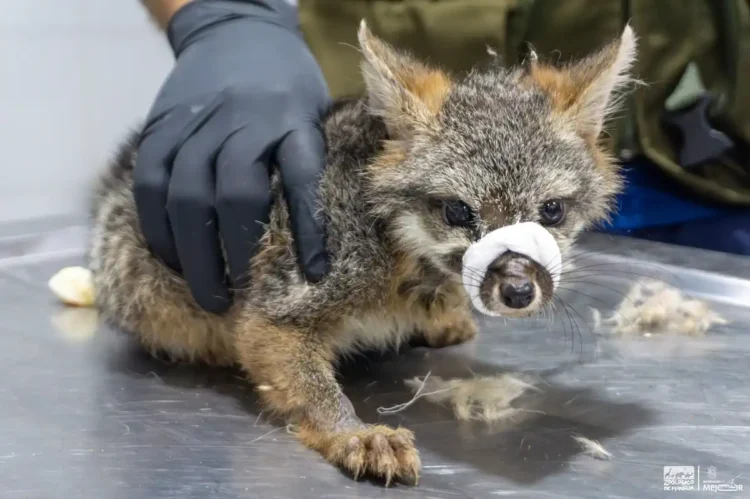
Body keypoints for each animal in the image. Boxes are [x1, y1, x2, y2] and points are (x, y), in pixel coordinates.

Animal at [86, 21, 637, 485]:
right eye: (458, 212)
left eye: (551, 212)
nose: (518, 290)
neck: (397, 252)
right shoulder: (277, 311)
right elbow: (312, 387)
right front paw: (352, 432)